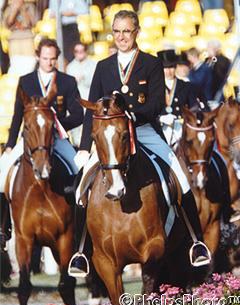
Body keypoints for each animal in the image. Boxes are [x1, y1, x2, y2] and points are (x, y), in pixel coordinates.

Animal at [4, 87, 76, 304]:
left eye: (53, 126)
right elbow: (24, 287)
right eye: (26, 127)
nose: (43, 169)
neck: (41, 189)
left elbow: (66, 286)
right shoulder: (24, 240)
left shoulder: (65, 239)